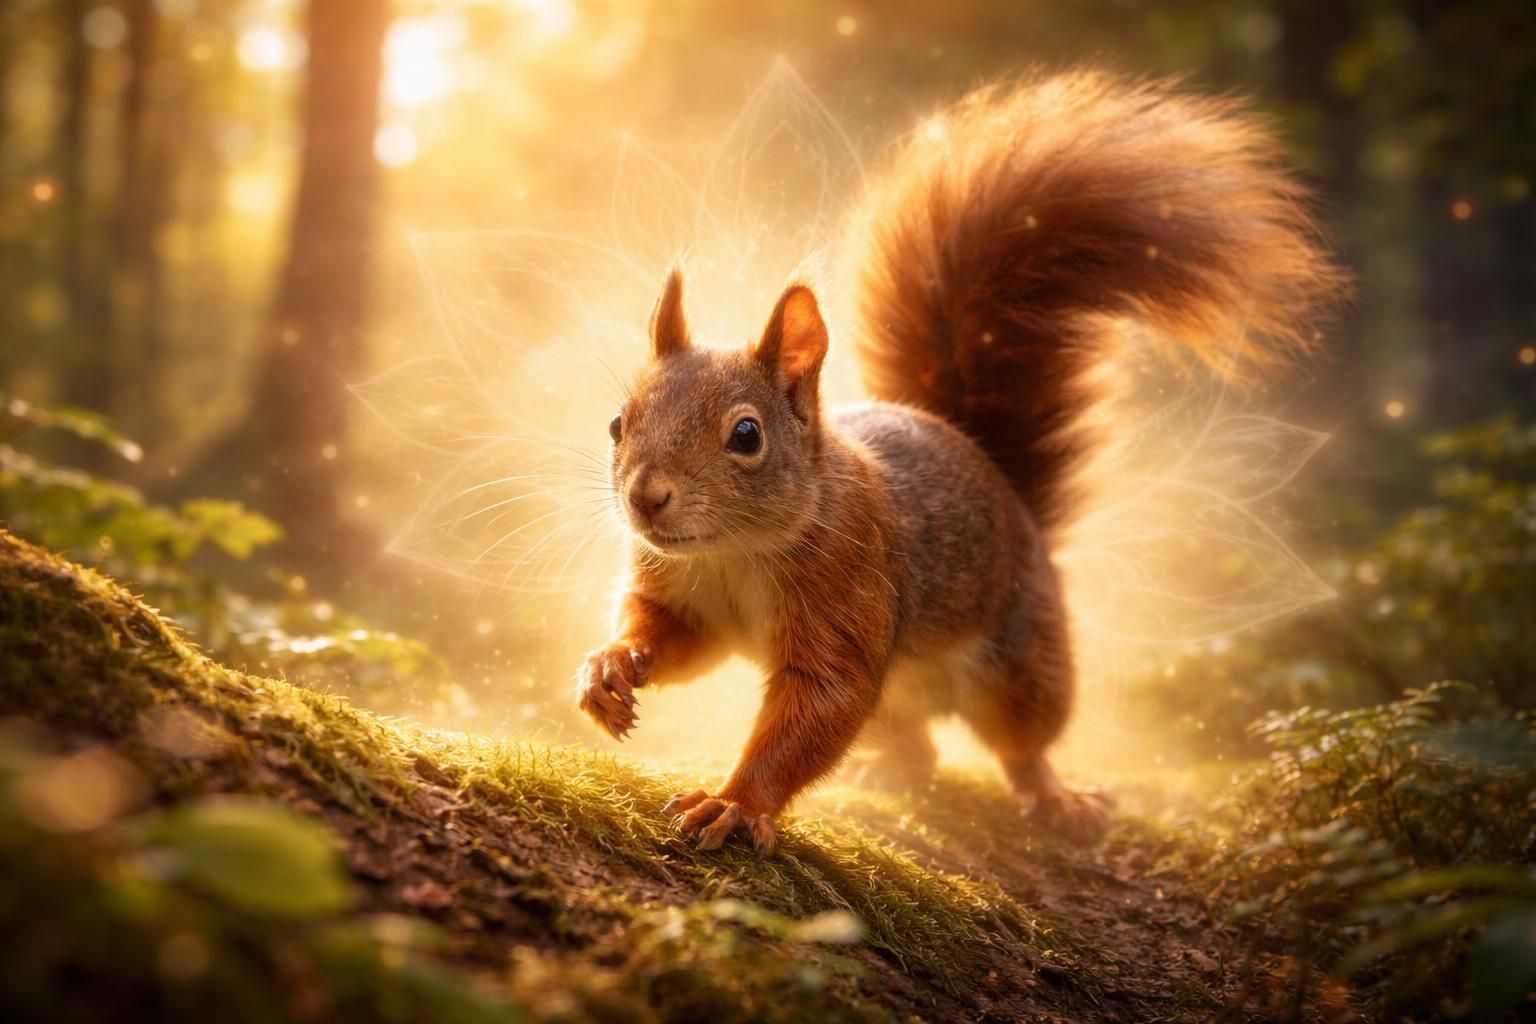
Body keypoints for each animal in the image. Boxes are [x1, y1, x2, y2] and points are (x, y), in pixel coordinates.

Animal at [575, 71, 1341, 856]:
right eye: (617, 422)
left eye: (747, 435)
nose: (646, 498)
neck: (733, 553)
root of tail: (1007, 489)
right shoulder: (685, 594)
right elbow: (674, 639)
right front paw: (610, 667)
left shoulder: (848, 589)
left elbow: (821, 704)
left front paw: (734, 803)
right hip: (907, 703)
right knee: (915, 747)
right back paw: (884, 768)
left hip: (1024, 661)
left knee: (1019, 740)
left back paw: (1054, 794)